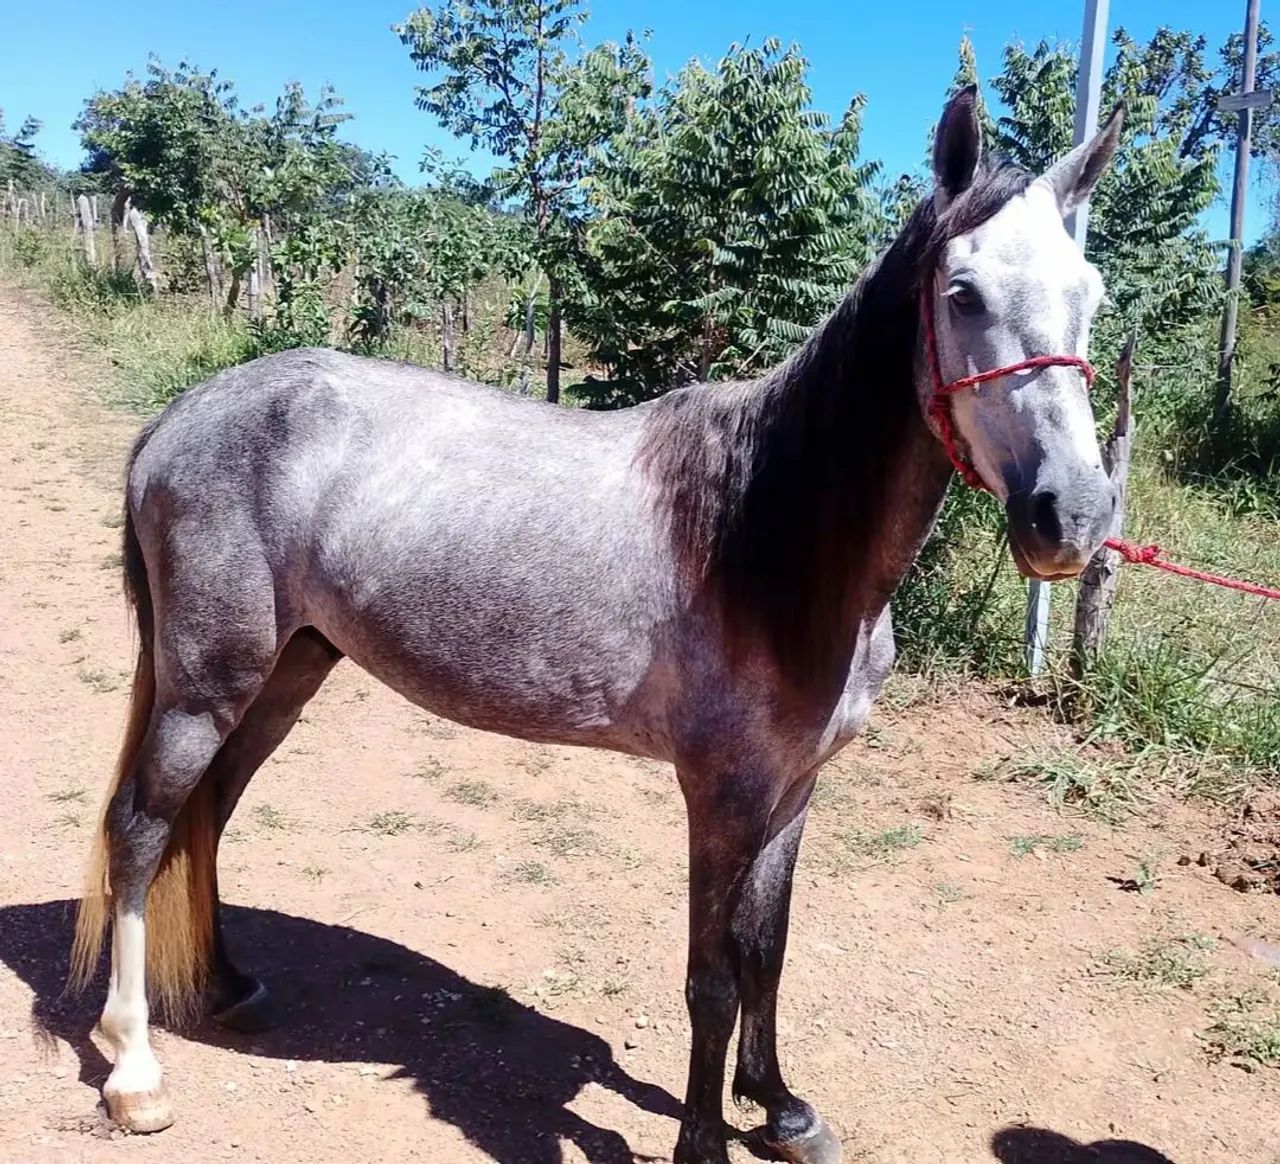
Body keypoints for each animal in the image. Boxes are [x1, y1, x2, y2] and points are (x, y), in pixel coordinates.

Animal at [69, 87, 1123, 1164]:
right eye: (963, 294)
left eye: (1089, 295)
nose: (1072, 518)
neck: (765, 528)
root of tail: (178, 419)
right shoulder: (721, 794)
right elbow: (711, 978)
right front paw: (704, 1141)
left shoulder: (794, 790)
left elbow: (767, 950)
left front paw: (780, 1107)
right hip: (207, 683)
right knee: (141, 827)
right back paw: (134, 1069)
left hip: (288, 672)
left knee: (208, 813)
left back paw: (227, 989)